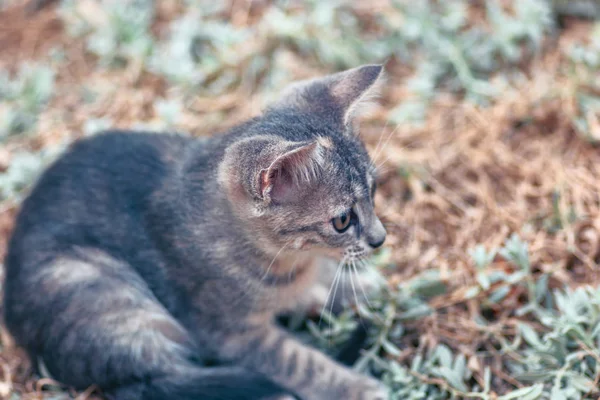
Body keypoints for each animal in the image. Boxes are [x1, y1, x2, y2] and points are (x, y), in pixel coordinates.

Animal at [2, 64, 390, 398]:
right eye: (342, 221)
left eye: (374, 191)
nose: (380, 239)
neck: (287, 260)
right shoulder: (228, 334)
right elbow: (299, 363)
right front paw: (355, 387)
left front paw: (355, 288)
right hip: (103, 291)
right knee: (152, 381)